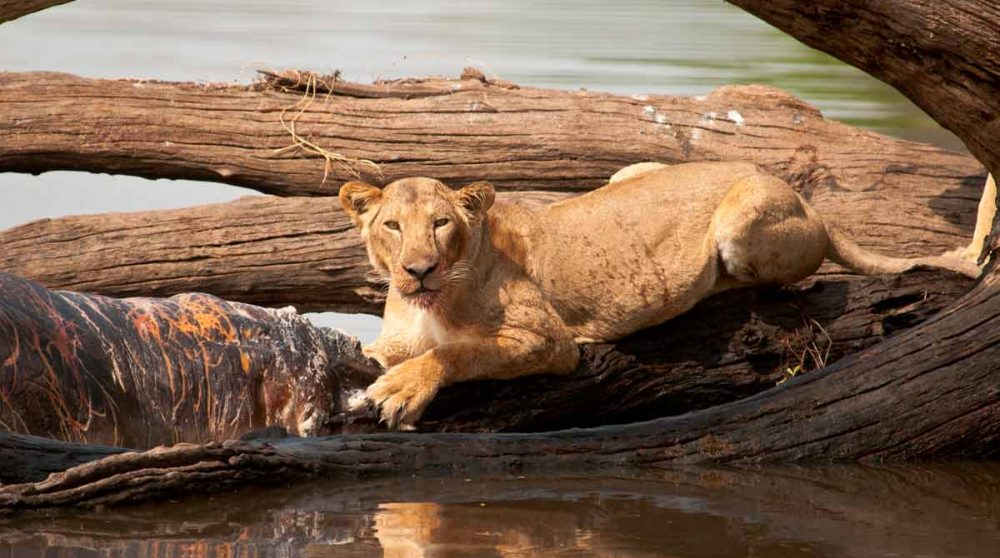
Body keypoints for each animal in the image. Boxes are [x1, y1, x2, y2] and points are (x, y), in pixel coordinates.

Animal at [340, 162, 994, 429]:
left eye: (440, 224)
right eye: (392, 226)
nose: (418, 269)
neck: (426, 302)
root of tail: (809, 203)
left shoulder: (550, 341)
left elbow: (457, 351)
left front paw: (399, 393)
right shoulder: (391, 339)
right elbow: (386, 351)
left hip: (741, 220)